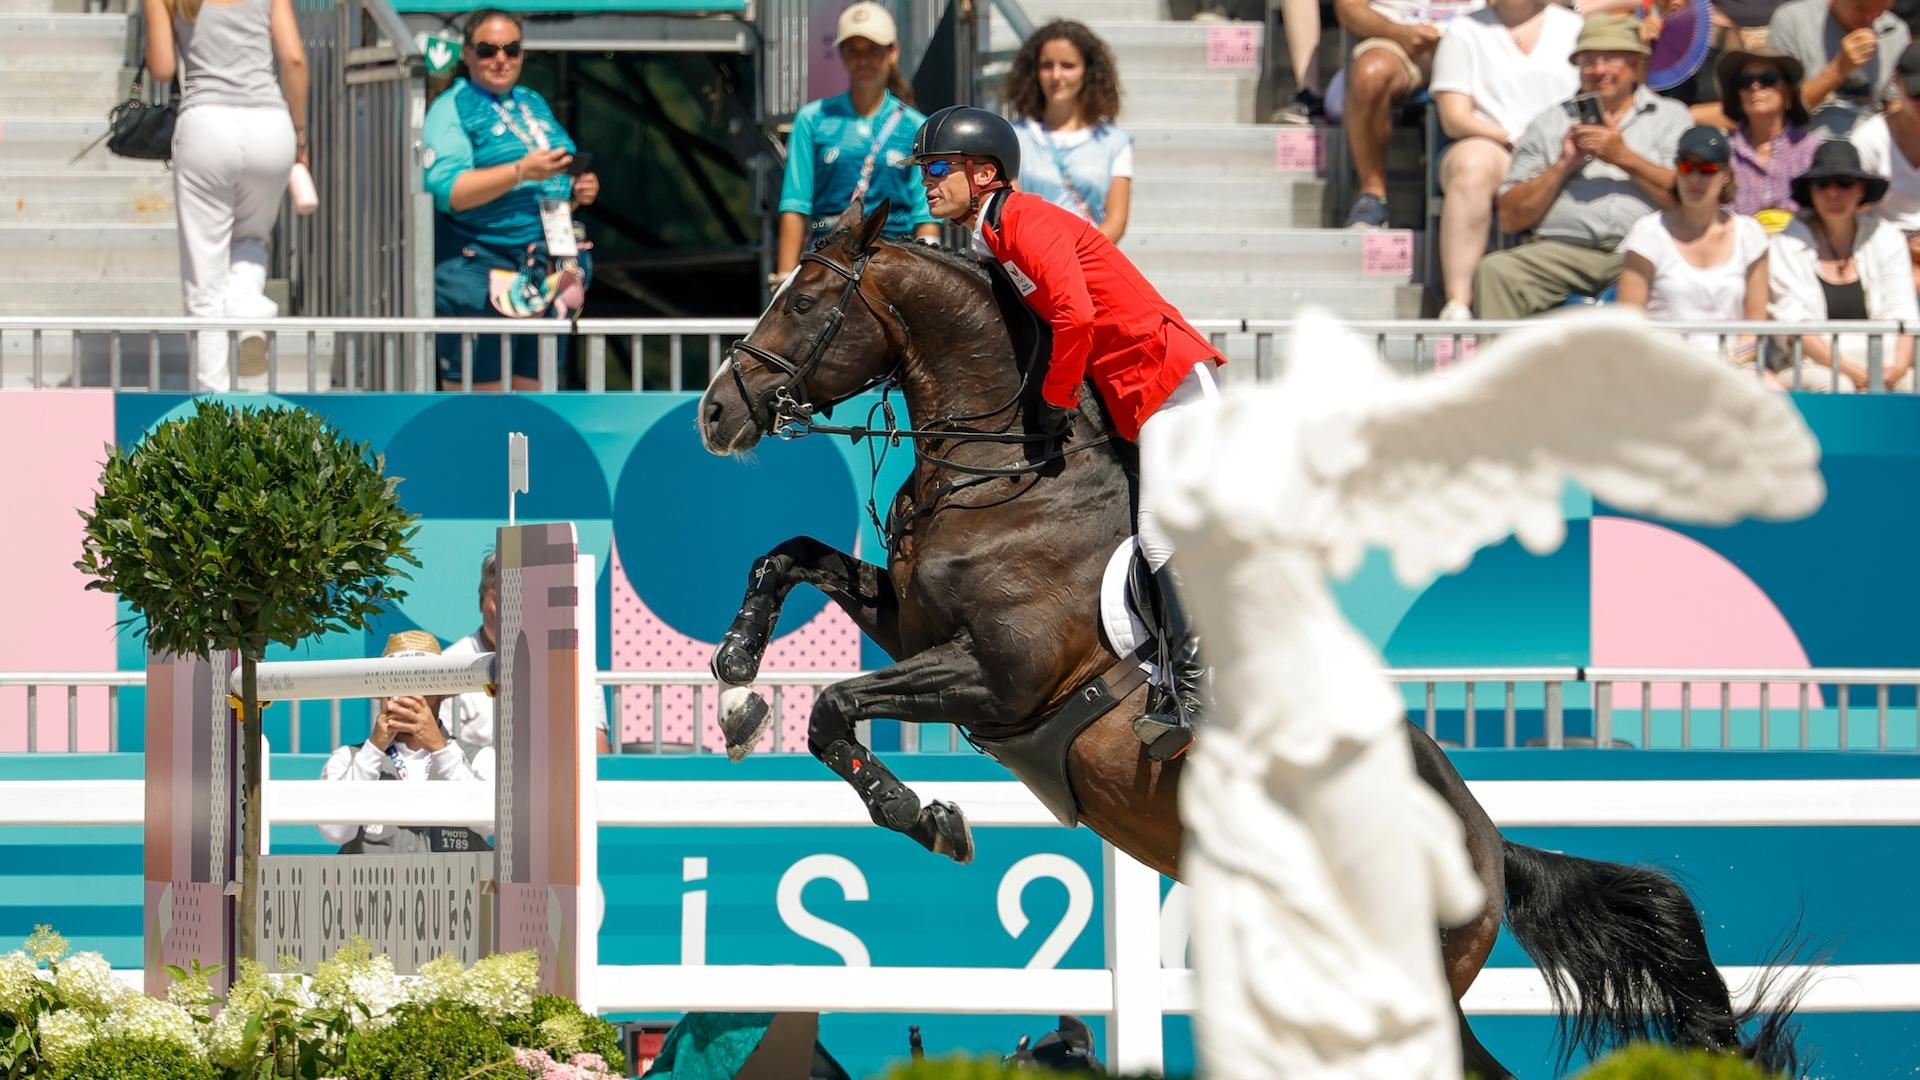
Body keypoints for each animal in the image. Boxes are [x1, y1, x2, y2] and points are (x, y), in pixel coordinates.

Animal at [695, 197, 1797, 1068]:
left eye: (804, 301)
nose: (712, 414)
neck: (1008, 472)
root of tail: (1490, 850)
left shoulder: (1000, 679)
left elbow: (837, 709)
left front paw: (924, 815)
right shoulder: (911, 620)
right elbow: (788, 559)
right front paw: (739, 676)